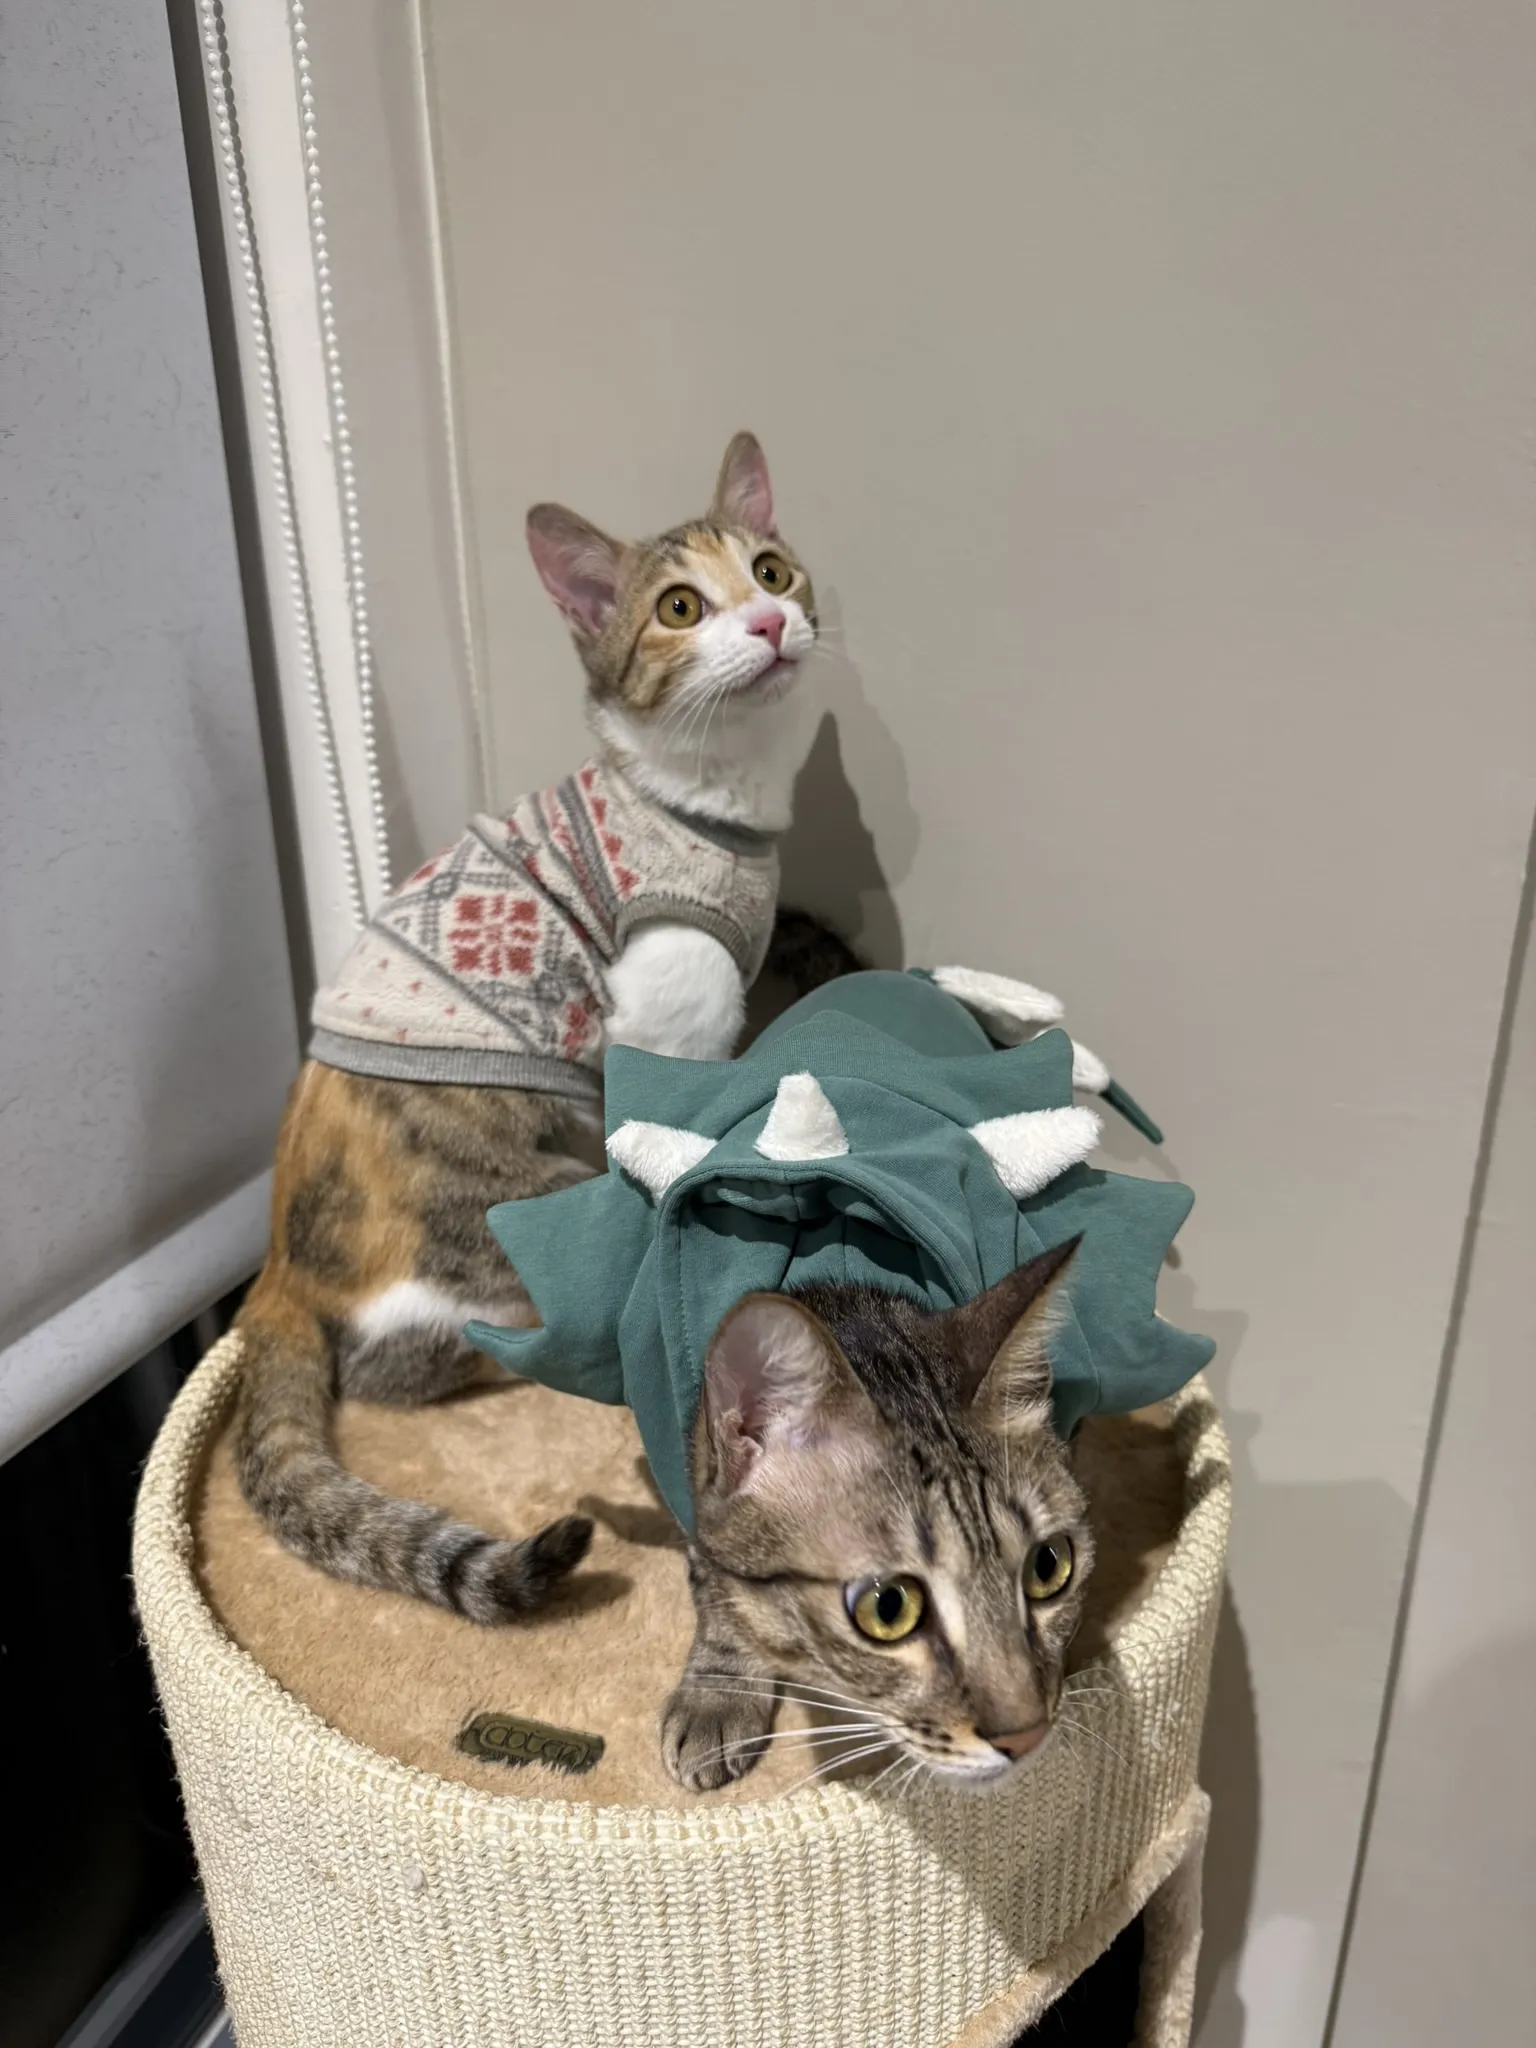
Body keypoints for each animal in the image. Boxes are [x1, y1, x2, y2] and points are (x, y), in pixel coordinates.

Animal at [235, 433, 854, 1624]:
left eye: (769, 569)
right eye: (677, 606)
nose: (767, 622)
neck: (709, 801)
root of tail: (279, 1257)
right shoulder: (665, 1022)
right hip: (517, 1210)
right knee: (398, 1362)